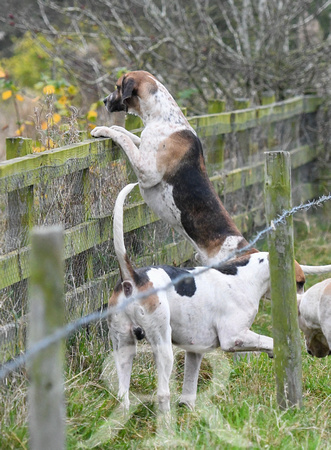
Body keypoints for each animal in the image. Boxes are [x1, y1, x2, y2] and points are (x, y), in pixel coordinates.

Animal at [109, 182, 274, 412]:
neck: (245, 275)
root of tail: (133, 279)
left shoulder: (195, 350)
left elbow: (189, 385)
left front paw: (189, 409)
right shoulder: (234, 338)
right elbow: (268, 340)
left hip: (124, 347)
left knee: (122, 394)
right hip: (162, 346)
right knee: (163, 393)